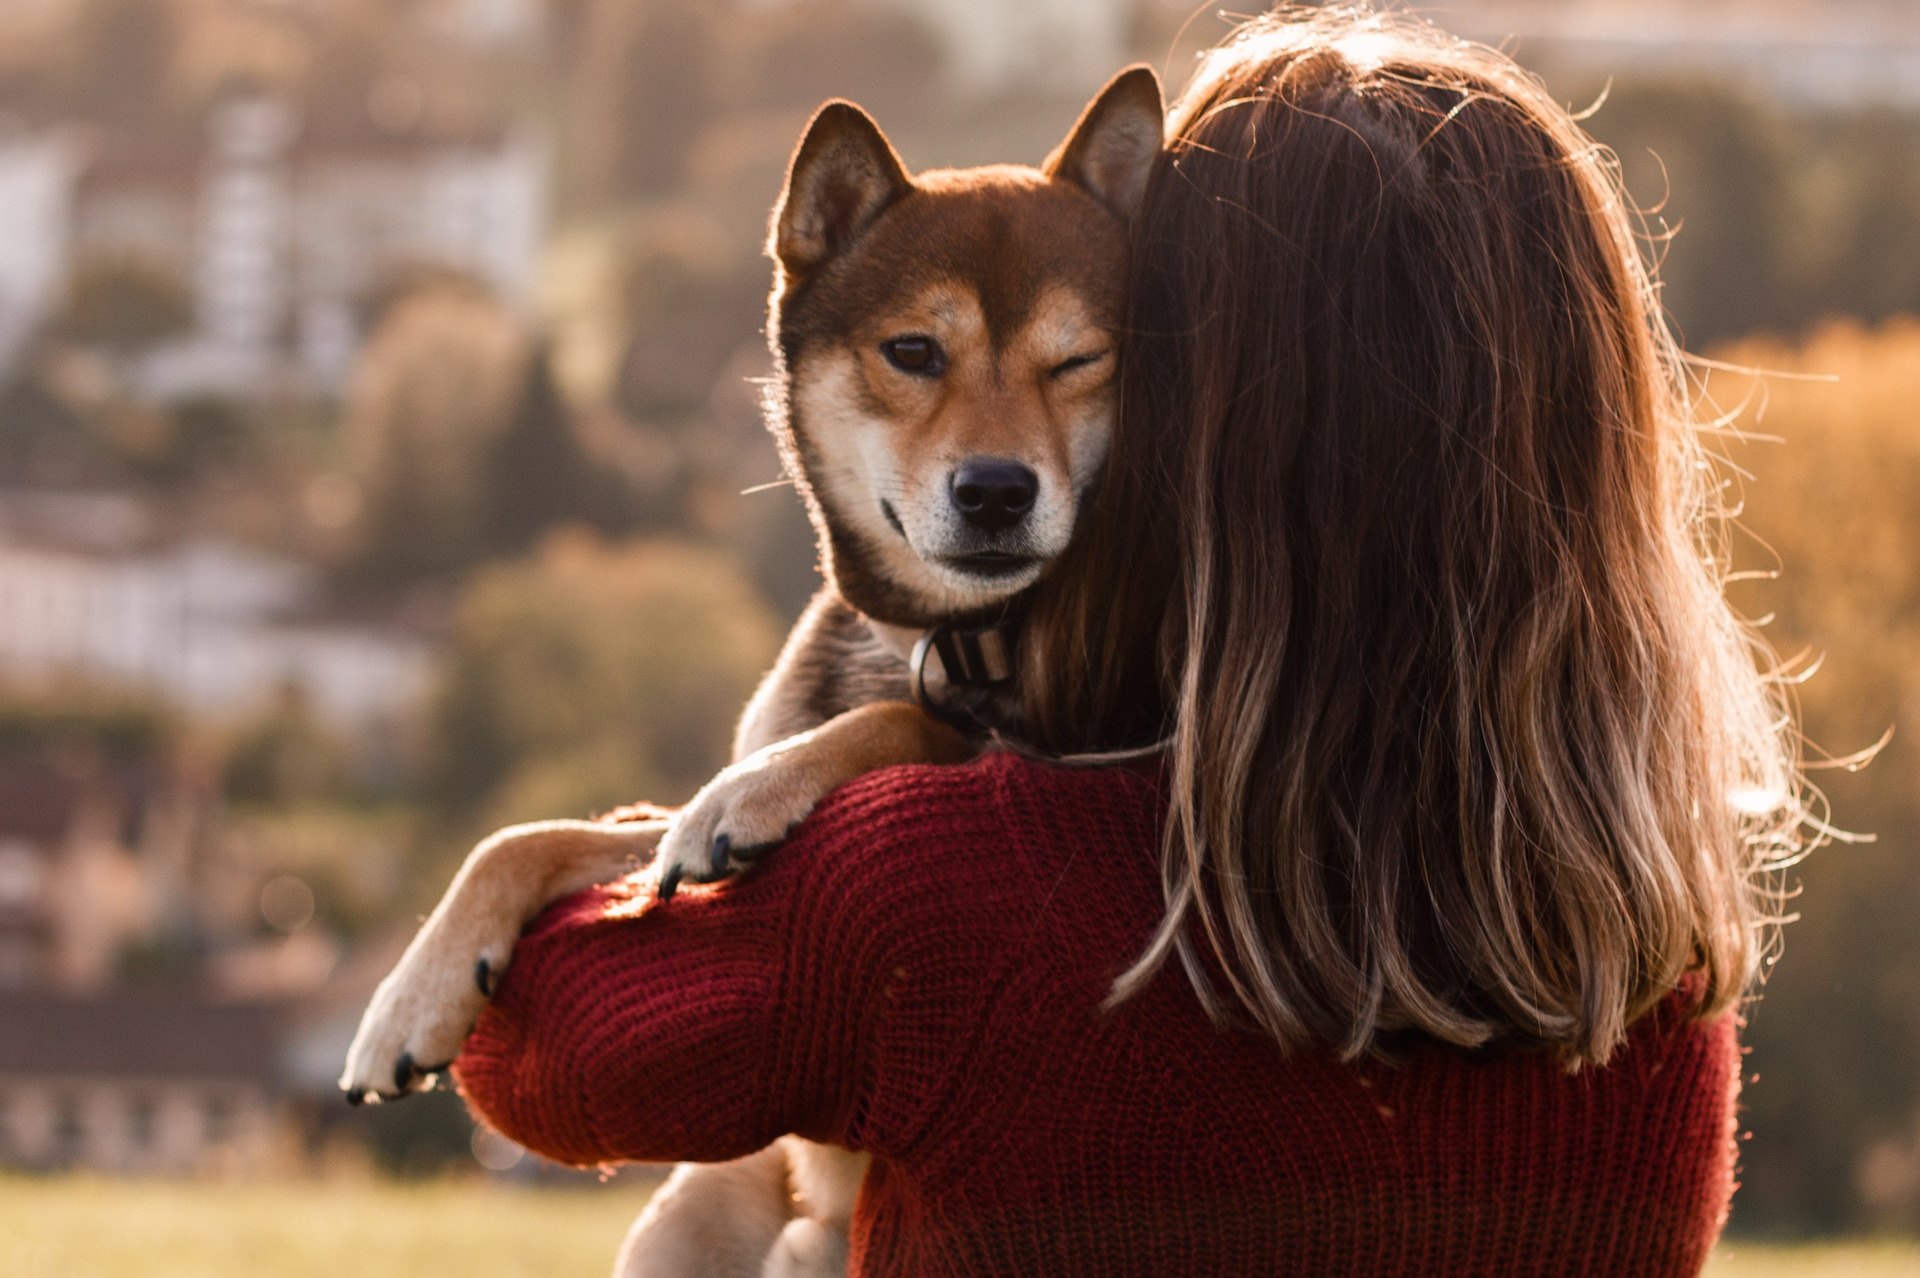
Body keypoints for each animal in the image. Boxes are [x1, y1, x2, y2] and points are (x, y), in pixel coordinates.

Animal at [337, 67, 1159, 1274]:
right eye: (914, 352)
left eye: (1081, 360)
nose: (998, 491)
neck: (937, 640)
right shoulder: (658, 841)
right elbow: (531, 836)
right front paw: (409, 1004)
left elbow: (893, 729)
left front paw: (765, 793)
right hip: (694, 1210)